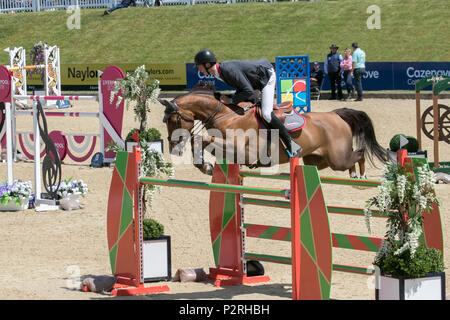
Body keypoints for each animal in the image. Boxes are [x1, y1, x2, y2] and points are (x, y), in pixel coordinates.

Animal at [156, 83, 388, 178]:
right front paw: (205, 166)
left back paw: (360, 176)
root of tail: (336, 115)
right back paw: (354, 175)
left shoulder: (244, 150)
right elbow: (201, 141)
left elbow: (201, 139)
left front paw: (206, 166)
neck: (226, 115)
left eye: (173, 120)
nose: (174, 148)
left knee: (358, 154)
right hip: (317, 160)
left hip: (336, 158)